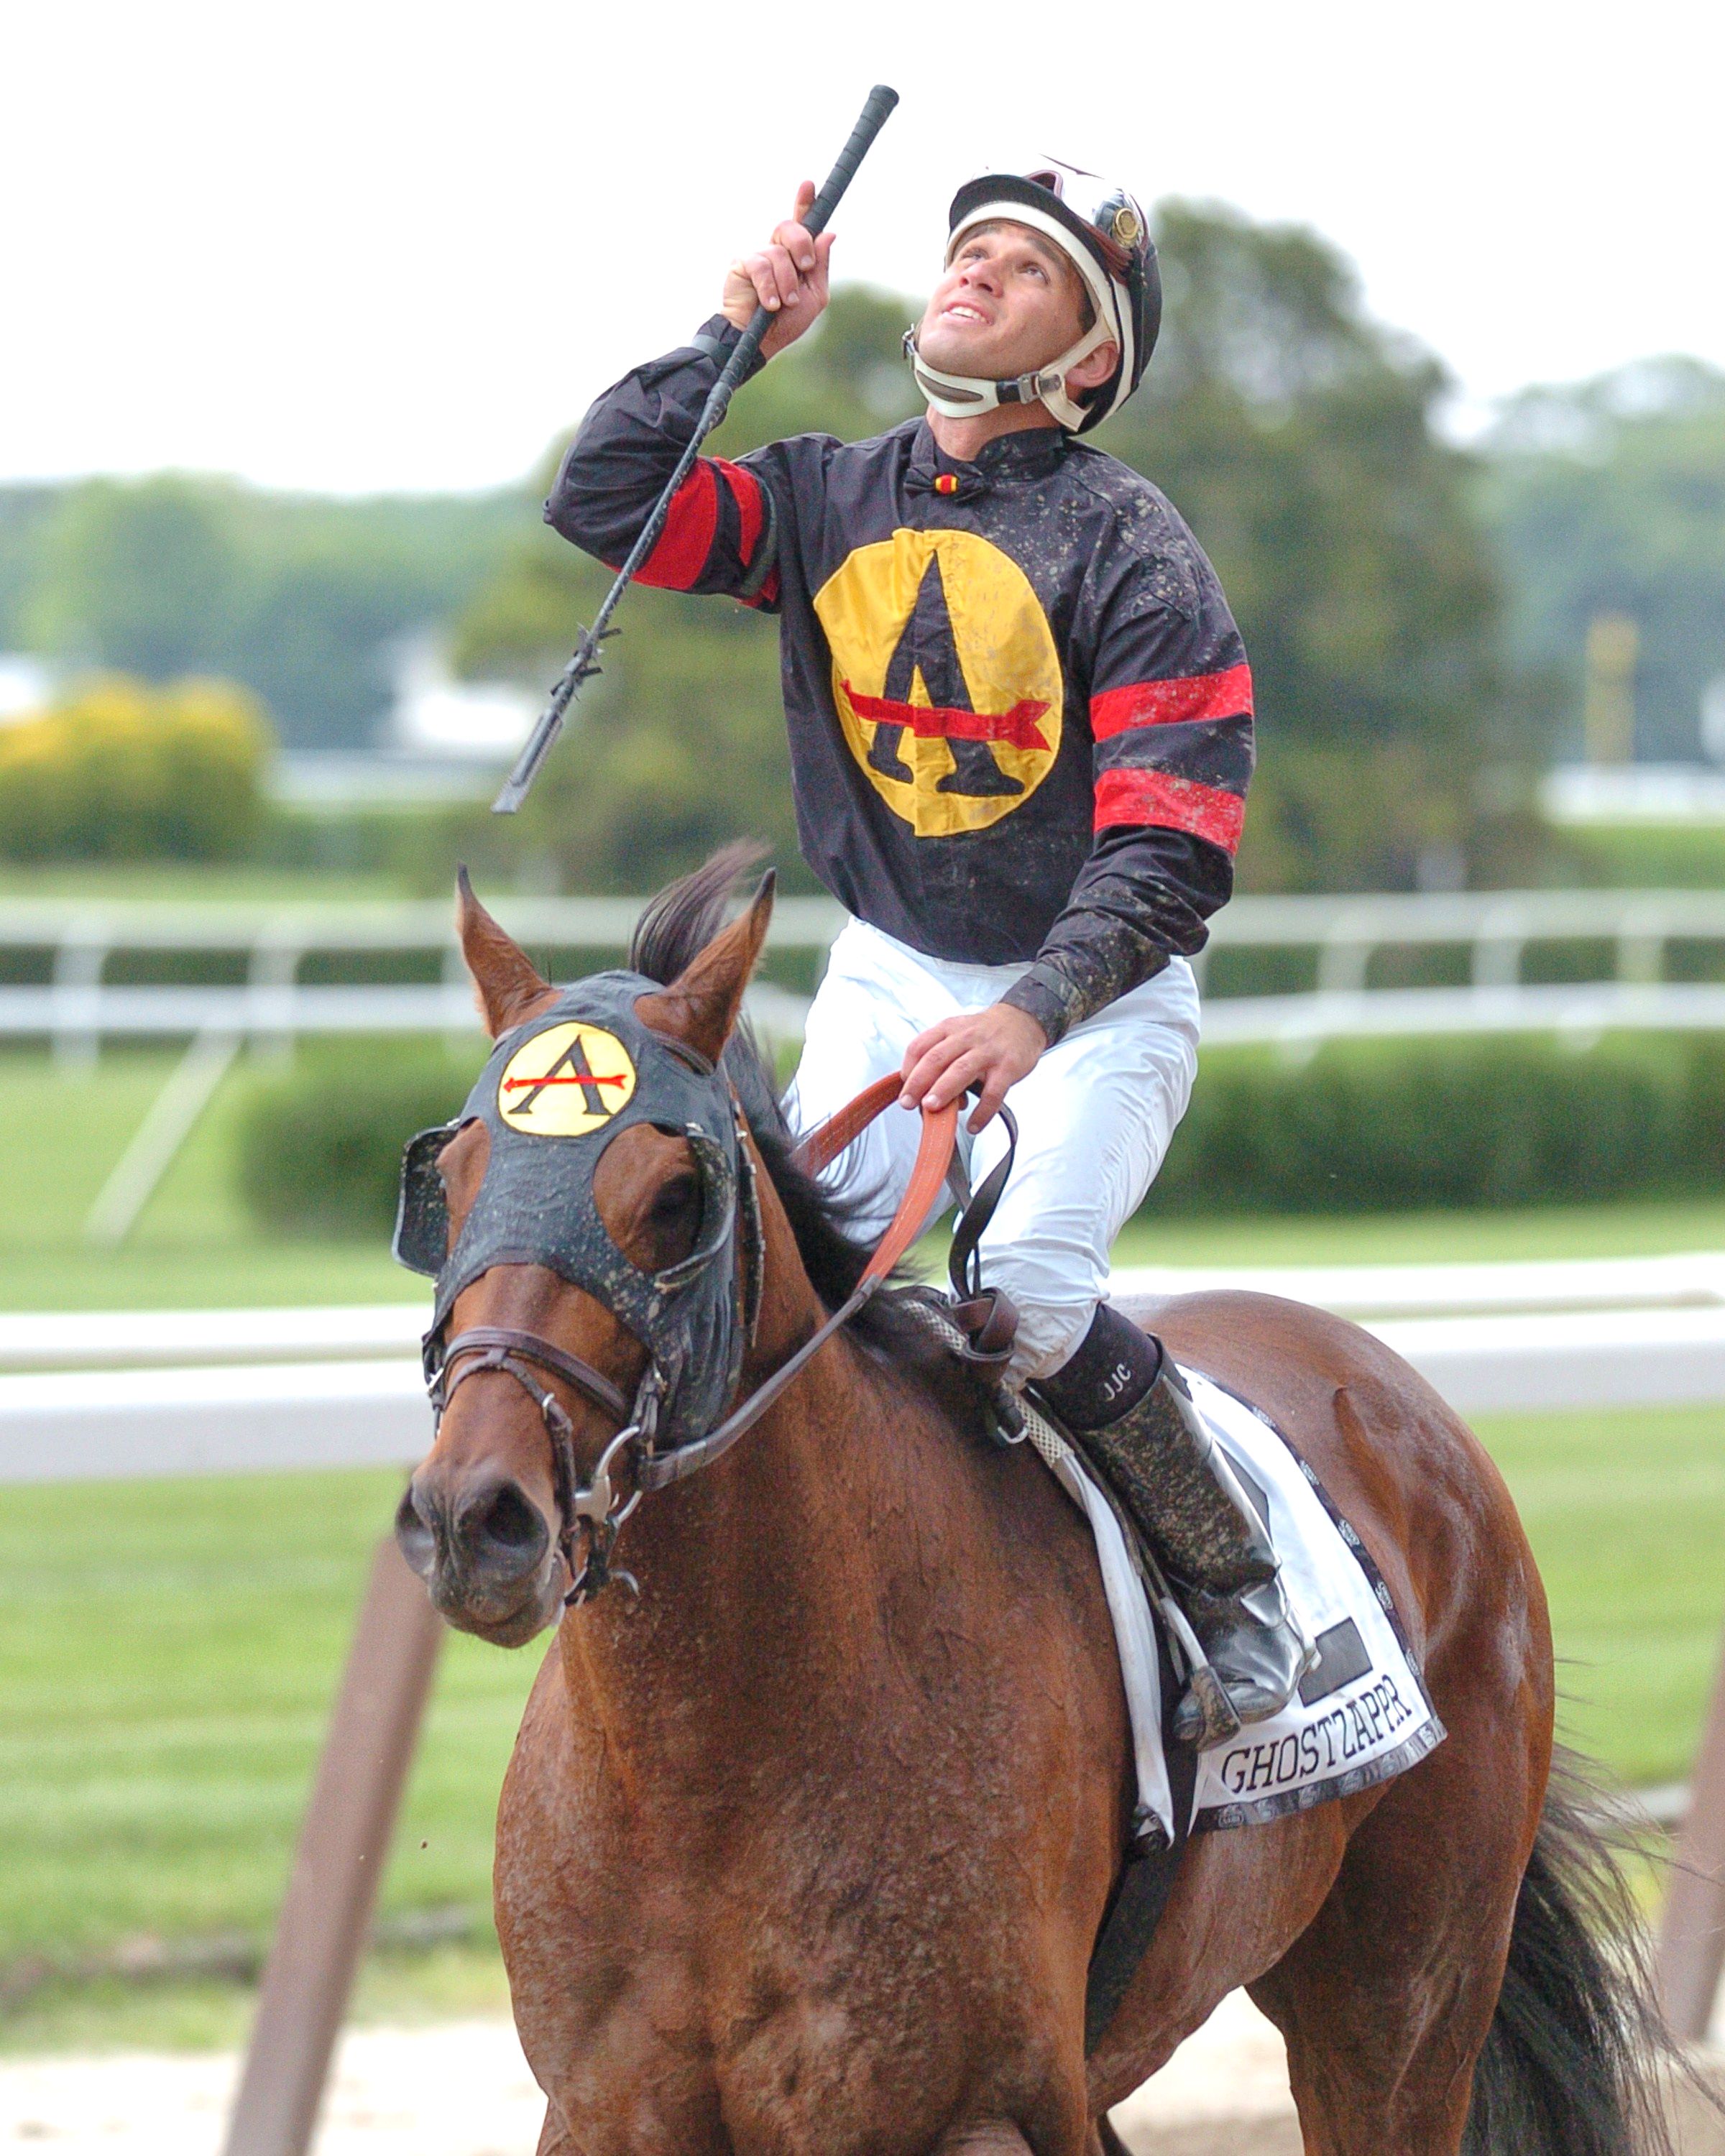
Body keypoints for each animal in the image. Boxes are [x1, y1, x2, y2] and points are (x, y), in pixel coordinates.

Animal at [401, 858, 1673, 2156]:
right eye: (445, 1185)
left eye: (673, 1198)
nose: (475, 1518)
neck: (706, 1776)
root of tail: (1393, 1387)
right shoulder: (604, 2111)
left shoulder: (978, 2107)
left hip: (1401, 1998)